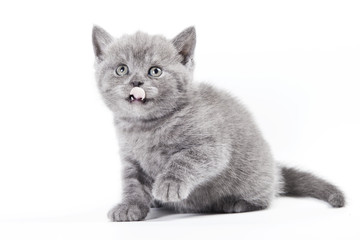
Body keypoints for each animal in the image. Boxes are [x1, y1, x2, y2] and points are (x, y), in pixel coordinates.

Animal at [91, 24, 344, 221]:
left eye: (155, 71)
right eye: (122, 69)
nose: (136, 82)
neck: (146, 127)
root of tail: (274, 168)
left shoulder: (210, 146)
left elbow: (184, 160)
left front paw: (169, 184)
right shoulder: (131, 161)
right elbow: (132, 184)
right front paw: (130, 206)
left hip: (256, 179)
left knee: (265, 197)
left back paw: (237, 203)